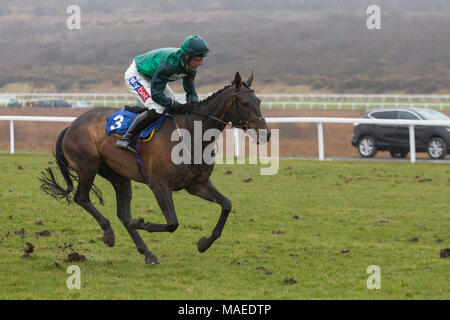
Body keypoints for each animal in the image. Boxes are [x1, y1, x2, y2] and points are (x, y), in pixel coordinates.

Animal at [40, 72, 268, 264]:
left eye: (259, 101)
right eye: (245, 102)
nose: (267, 134)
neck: (191, 135)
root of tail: (71, 125)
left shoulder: (197, 184)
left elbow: (227, 205)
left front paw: (204, 243)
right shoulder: (159, 184)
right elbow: (173, 222)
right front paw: (143, 223)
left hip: (118, 175)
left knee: (123, 213)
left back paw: (147, 252)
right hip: (88, 166)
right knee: (82, 198)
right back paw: (109, 233)